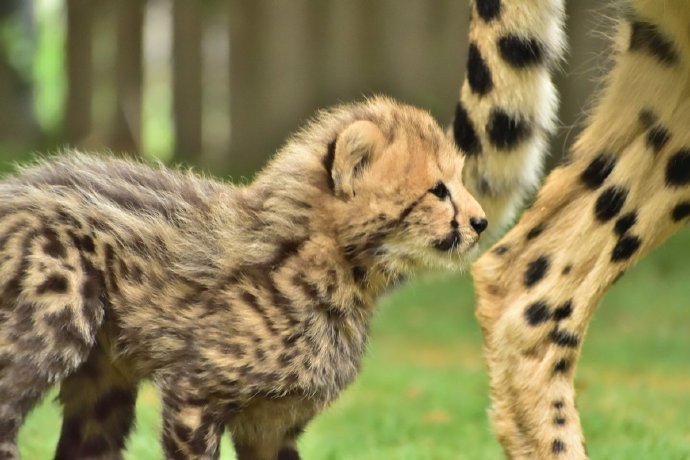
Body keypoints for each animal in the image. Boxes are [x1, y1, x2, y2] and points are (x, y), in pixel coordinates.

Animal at [0, 97, 496, 460]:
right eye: (438, 190)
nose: (481, 222)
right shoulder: (193, 397)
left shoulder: (271, 426)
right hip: (53, 321)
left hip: (105, 380)